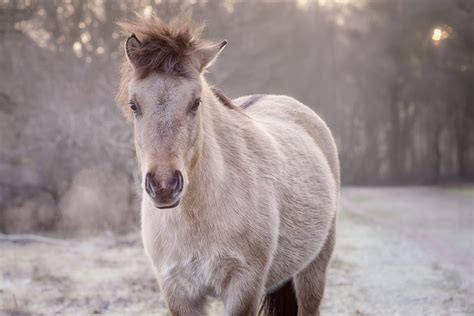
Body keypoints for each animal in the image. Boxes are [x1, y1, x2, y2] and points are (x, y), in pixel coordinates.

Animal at [116, 14, 338, 316]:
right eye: (134, 105)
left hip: (313, 271)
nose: (164, 186)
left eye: (195, 102)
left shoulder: (244, 287)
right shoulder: (178, 292)